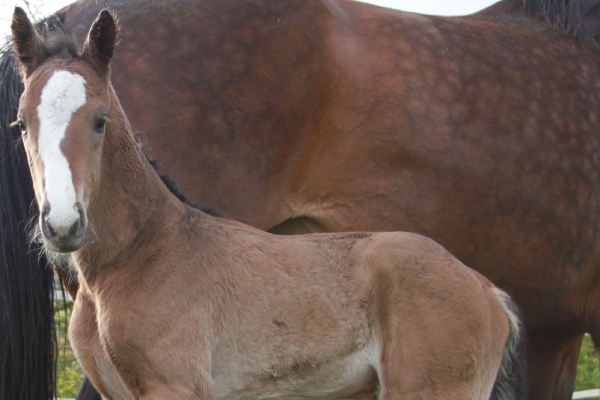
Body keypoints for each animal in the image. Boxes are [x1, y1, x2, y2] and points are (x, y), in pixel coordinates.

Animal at [1, 0, 600, 398]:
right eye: (22, 124)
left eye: (100, 120)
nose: (62, 225)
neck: (146, 252)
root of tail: (487, 290)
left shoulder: (175, 387)